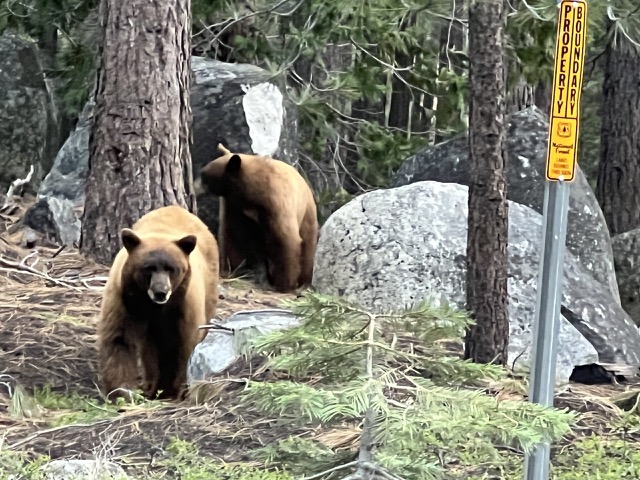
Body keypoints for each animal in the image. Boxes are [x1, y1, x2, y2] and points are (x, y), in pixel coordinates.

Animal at [97, 205, 219, 402]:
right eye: (148, 268)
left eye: (172, 268)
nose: (161, 291)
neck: (152, 306)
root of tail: (177, 208)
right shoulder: (123, 299)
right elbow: (119, 339)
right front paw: (123, 393)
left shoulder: (183, 306)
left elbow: (184, 344)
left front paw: (176, 390)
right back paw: (151, 385)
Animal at [199, 143, 319, 293]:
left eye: (205, 177)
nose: (197, 186)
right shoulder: (234, 206)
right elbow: (234, 236)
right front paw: (234, 270)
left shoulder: (275, 202)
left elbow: (285, 239)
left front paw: (284, 284)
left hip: (307, 214)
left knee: (307, 245)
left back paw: (302, 281)